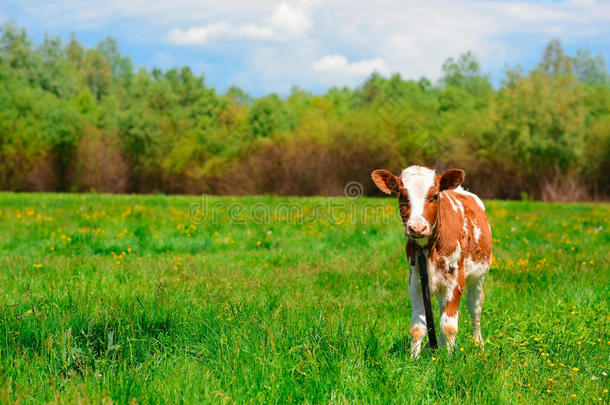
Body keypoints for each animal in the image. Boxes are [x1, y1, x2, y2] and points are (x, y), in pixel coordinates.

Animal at [370, 164, 490, 356]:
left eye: (434, 196)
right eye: (401, 196)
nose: (417, 228)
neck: (429, 248)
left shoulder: (455, 281)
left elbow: (449, 327)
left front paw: (448, 359)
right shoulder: (415, 282)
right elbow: (418, 328)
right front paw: (414, 358)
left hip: (478, 277)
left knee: (475, 309)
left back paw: (478, 344)